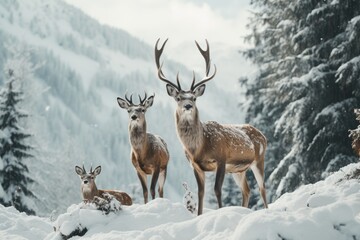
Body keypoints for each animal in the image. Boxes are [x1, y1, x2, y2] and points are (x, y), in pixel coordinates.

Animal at [155, 38, 268, 215]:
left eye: (194, 98)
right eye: (178, 98)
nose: (188, 105)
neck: (199, 148)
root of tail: (263, 136)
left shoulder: (221, 159)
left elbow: (217, 190)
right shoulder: (195, 165)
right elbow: (201, 192)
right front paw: (199, 214)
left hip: (259, 159)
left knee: (262, 188)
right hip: (238, 170)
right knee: (247, 190)